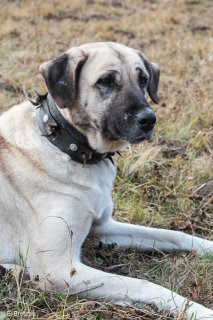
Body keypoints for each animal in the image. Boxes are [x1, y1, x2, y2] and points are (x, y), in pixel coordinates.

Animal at [0, 42, 213, 318]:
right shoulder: (57, 268)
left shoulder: (102, 227)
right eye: (106, 81)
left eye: (143, 79)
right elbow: (144, 284)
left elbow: (176, 235)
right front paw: (198, 310)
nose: (149, 119)